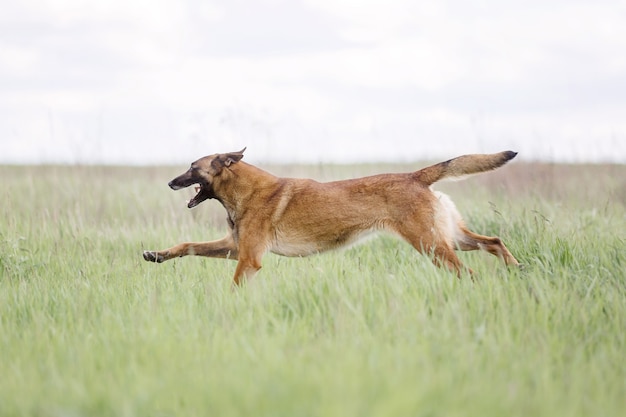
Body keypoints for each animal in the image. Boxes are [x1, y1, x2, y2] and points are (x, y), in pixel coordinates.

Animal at [143, 148, 516, 284]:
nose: (170, 182)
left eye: (193, 167)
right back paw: (518, 271)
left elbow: (234, 286)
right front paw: (156, 255)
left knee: (470, 272)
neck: (244, 191)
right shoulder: (235, 248)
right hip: (450, 238)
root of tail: (415, 176)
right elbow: (187, 245)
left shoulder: (248, 258)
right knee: (495, 241)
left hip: (432, 245)